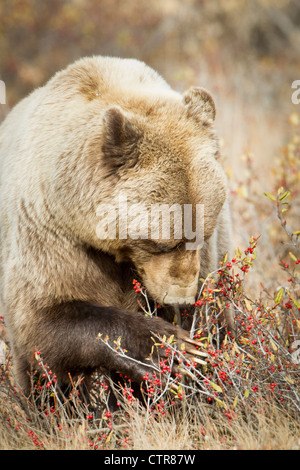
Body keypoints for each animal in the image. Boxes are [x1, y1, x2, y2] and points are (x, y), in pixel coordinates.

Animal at [0, 55, 233, 394]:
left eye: (200, 236)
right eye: (162, 242)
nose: (181, 298)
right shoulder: (49, 233)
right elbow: (42, 320)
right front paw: (173, 349)